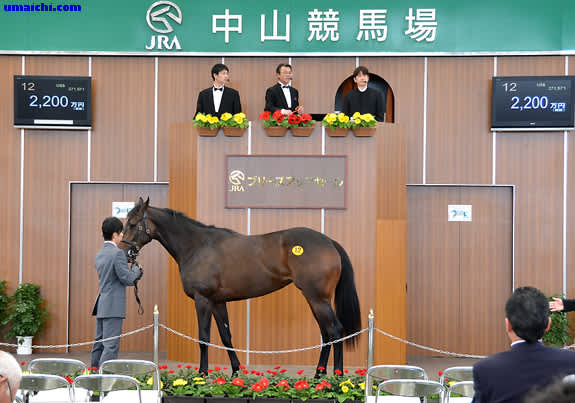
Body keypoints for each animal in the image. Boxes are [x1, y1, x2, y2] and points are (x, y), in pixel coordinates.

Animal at [121, 197, 361, 375]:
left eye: (132, 224)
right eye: (124, 224)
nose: (124, 253)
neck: (197, 246)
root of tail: (329, 242)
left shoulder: (203, 300)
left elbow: (204, 337)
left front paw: (202, 374)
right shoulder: (218, 302)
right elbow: (226, 336)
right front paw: (236, 371)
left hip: (318, 299)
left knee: (335, 330)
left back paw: (336, 376)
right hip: (315, 300)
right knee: (326, 333)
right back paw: (319, 374)